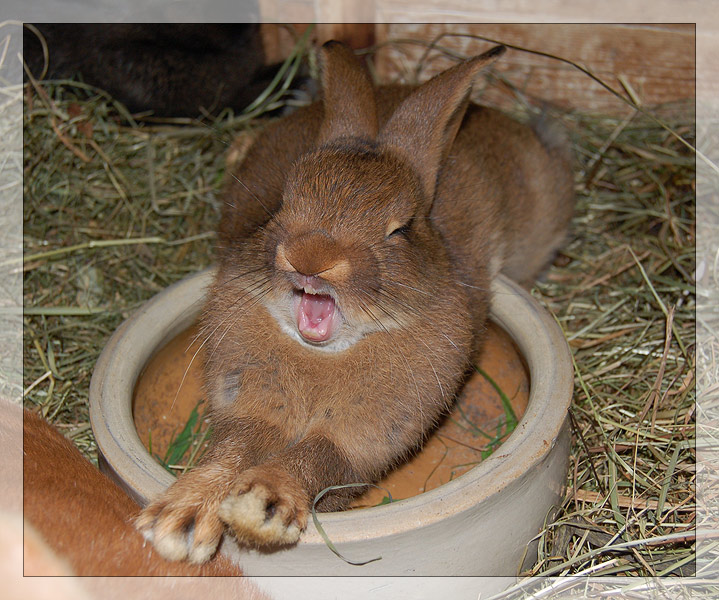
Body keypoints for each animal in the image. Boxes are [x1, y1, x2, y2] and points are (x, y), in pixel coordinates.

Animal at [135, 41, 572, 564]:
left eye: (399, 229)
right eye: (283, 204)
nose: (311, 257)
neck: (320, 357)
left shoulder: (363, 438)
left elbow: (317, 458)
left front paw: (262, 504)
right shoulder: (246, 403)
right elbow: (234, 448)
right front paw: (177, 519)